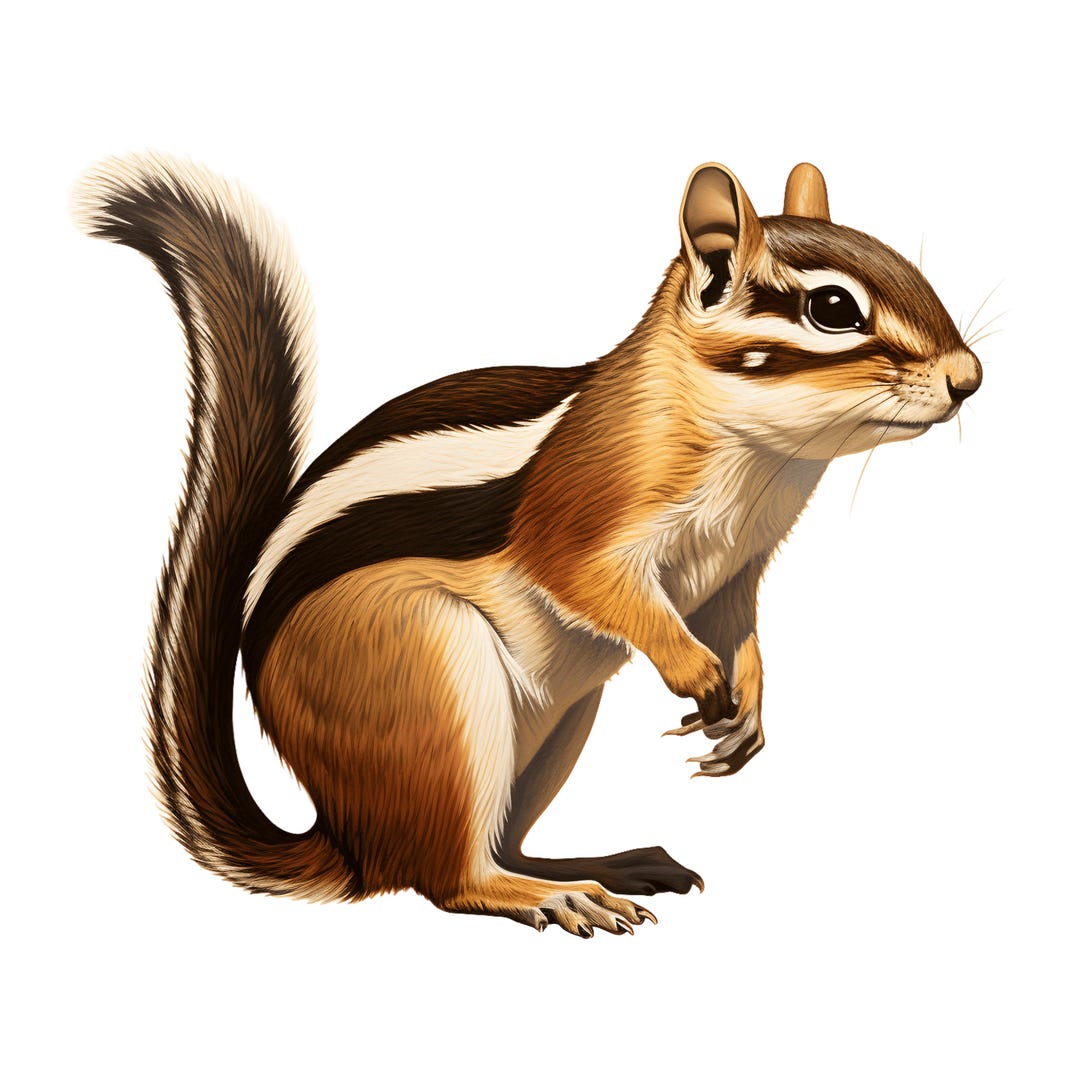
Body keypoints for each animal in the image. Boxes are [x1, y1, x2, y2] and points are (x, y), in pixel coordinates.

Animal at [75, 154, 981, 936]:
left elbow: (738, 627)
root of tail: (348, 841)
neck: (754, 452)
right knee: (447, 880)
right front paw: (693, 670)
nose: (969, 378)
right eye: (834, 310)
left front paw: (748, 706)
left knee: (496, 842)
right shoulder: (581, 515)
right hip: (429, 677)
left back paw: (596, 867)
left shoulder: (736, 570)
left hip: (560, 722)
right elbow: (590, 581)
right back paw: (549, 895)